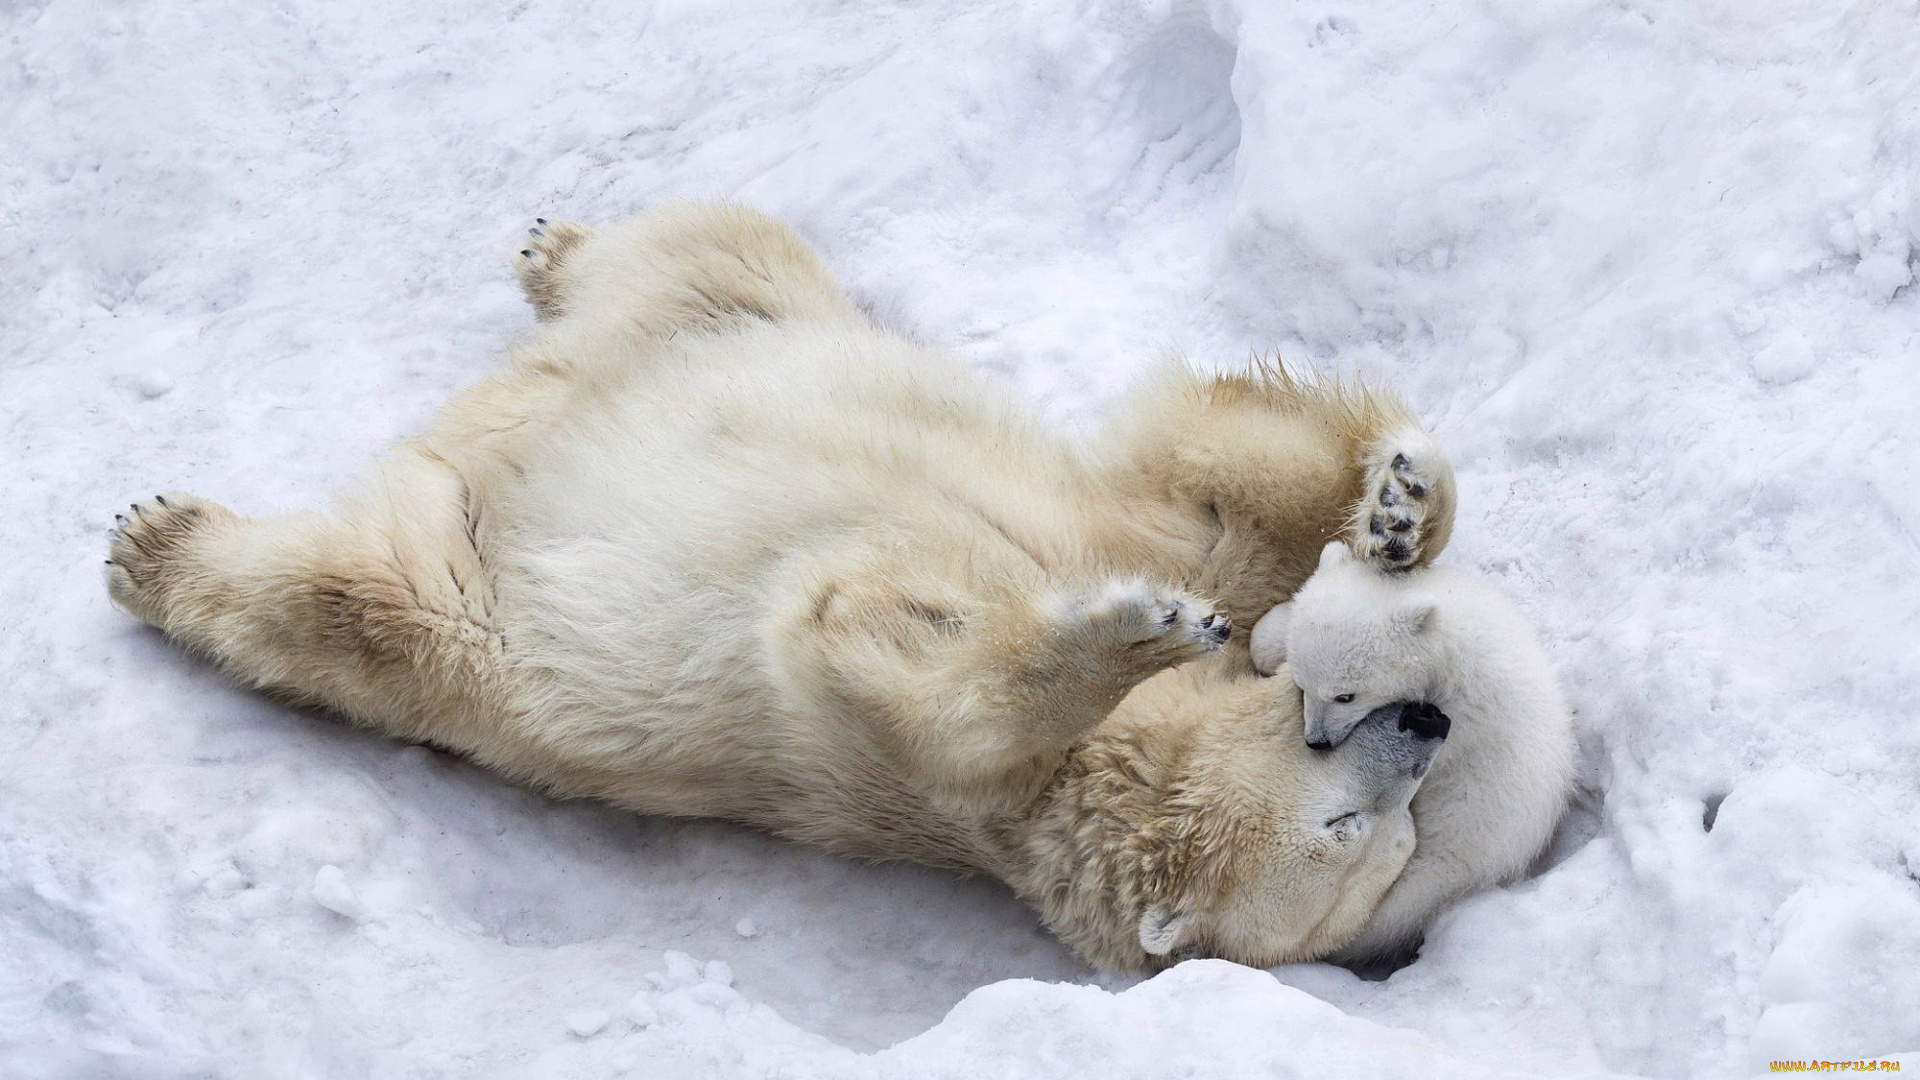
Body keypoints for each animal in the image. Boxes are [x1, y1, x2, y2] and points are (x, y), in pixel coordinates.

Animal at [105, 202, 1459, 969]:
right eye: (1348, 825)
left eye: (1396, 840)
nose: (1430, 722)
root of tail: (497, 422)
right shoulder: (1103, 538)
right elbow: (1226, 503)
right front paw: (1396, 508)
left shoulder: (934, 782)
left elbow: (861, 643)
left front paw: (1129, 629)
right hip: (741, 316)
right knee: (713, 239)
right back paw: (554, 251)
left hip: (470, 591)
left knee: (354, 608)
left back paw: (162, 544)